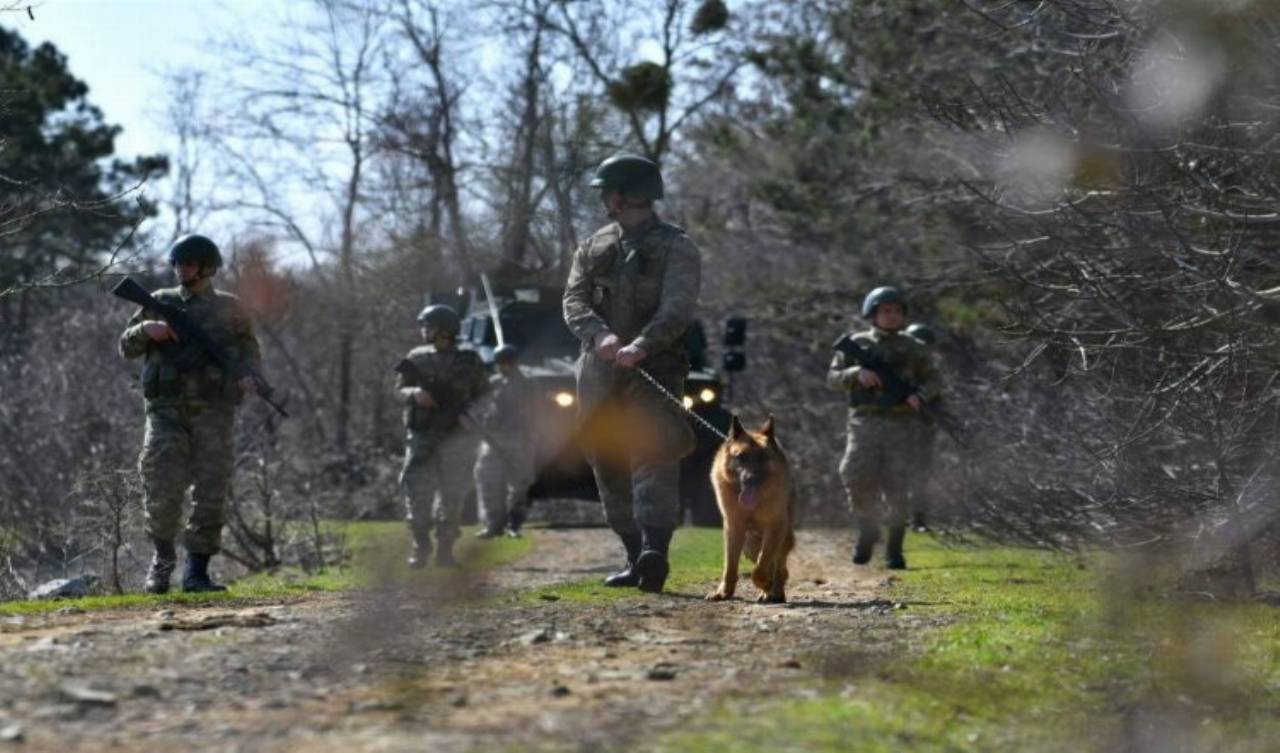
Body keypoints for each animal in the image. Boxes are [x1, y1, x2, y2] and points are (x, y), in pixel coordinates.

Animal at [706, 414, 793, 601]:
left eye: (762, 458)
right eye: (740, 456)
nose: (749, 479)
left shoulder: (775, 527)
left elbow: (761, 567)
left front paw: (766, 584)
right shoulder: (733, 528)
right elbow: (730, 567)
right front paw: (724, 592)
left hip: (782, 538)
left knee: (779, 568)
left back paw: (774, 592)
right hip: (750, 545)